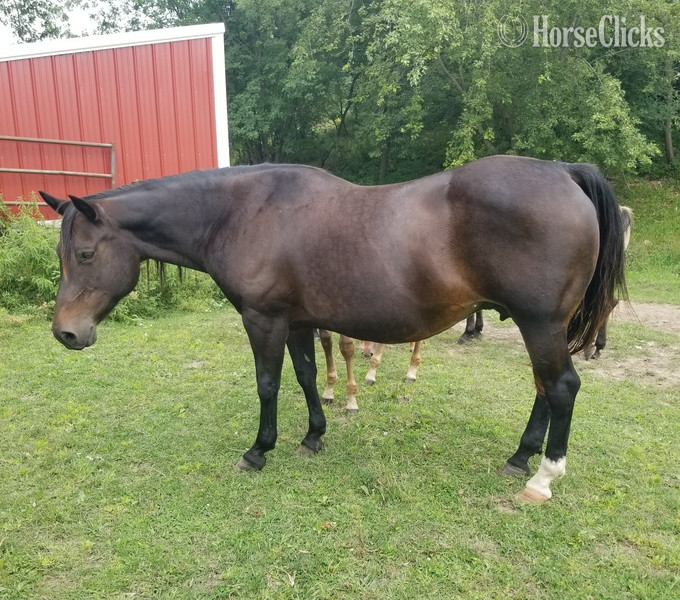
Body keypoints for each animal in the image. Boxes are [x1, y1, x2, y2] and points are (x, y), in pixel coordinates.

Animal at [39, 155, 627, 503]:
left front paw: (259, 450)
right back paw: (520, 457)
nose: (65, 333)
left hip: (541, 324)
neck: (242, 213)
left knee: (560, 387)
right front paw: (313, 436)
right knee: (543, 388)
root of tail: (563, 172)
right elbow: (304, 377)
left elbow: (268, 384)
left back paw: (542, 478)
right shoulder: (297, 322)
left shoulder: (264, 319)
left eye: (85, 254)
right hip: (540, 327)